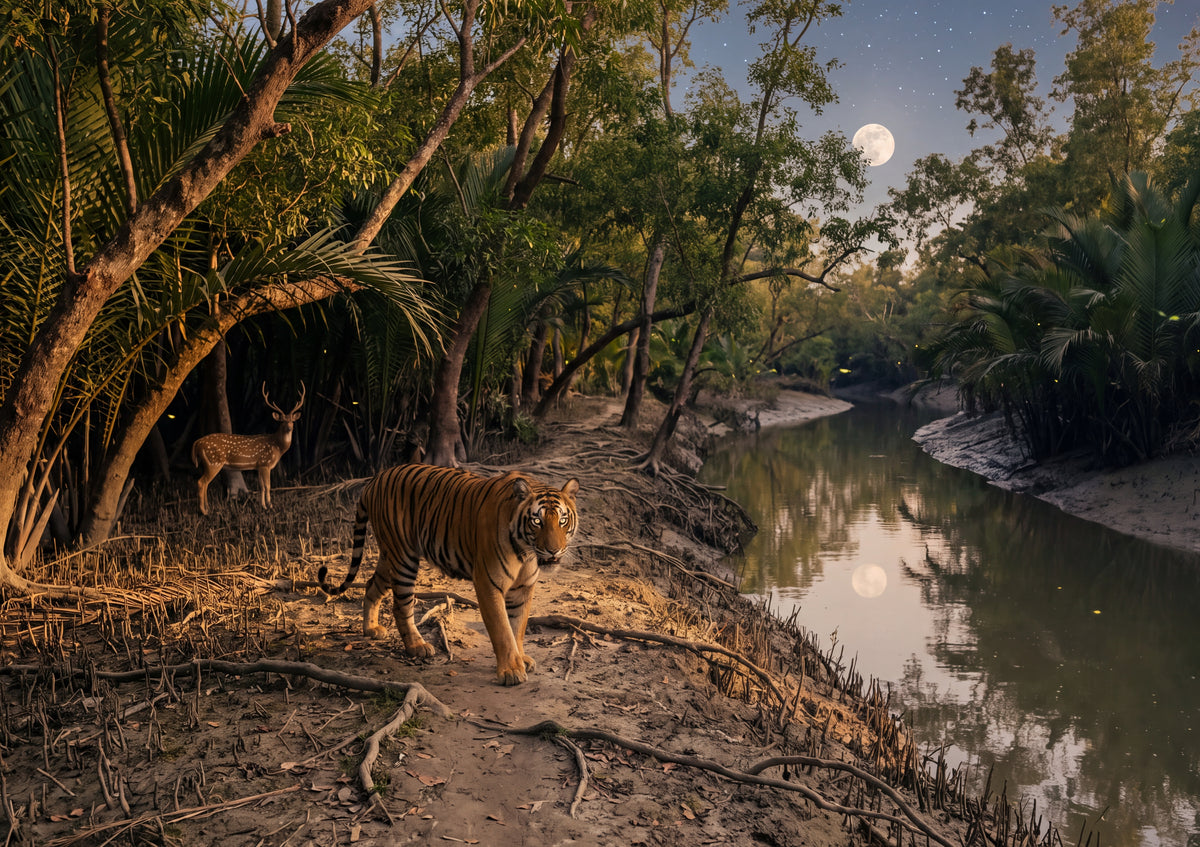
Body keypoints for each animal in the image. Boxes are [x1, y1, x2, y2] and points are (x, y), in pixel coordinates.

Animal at [317, 464, 580, 686]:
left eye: (562, 520)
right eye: (537, 521)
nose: (553, 550)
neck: (526, 551)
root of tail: (376, 478)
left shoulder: (523, 588)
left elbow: (518, 627)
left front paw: (521, 659)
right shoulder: (488, 583)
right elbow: (503, 629)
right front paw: (511, 671)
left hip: (388, 555)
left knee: (372, 584)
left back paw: (371, 629)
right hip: (404, 557)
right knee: (401, 605)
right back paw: (417, 646)